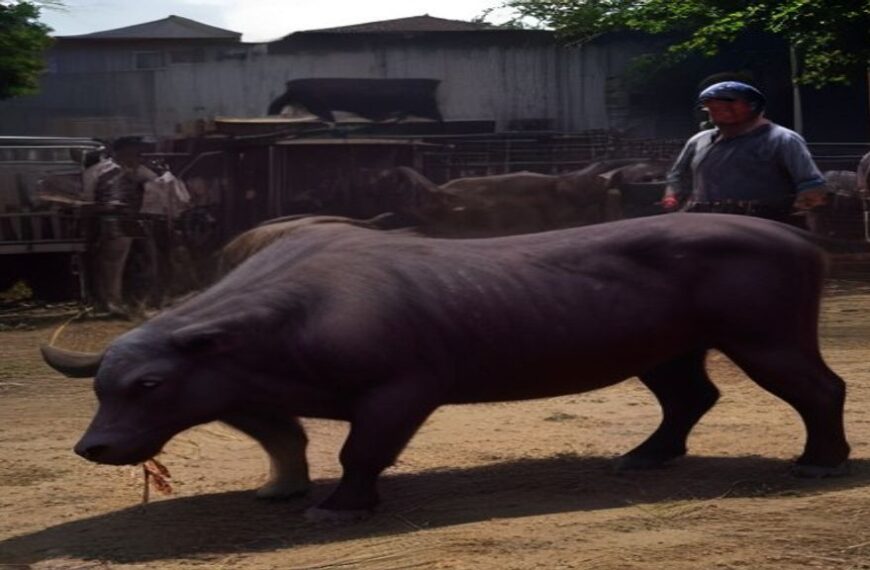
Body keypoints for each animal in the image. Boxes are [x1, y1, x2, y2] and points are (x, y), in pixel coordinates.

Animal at [41, 214, 850, 521]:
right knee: (688, 396)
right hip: (665, 348)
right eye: (102, 387)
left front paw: (338, 506)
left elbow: (359, 451)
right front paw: (281, 489)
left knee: (821, 388)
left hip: (767, 338)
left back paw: (821, 462)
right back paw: (644, 457)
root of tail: (794, 235)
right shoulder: (243, 390)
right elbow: (284, 438)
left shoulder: (401, 391)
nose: (95, 447)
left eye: (149, 385)